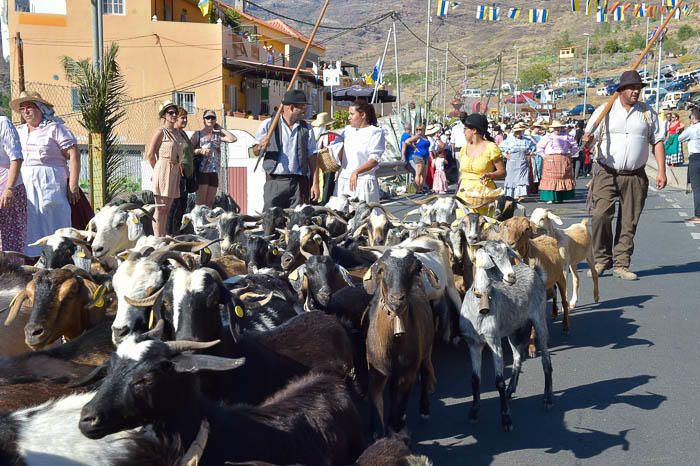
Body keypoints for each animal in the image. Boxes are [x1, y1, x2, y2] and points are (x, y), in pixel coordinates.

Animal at [364, 249, 434, 436]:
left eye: (415, 268)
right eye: (381, 269)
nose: (397, 299)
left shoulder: (407, 373)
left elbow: (399, 405)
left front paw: (396, 427)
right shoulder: (376, 372)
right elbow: (377, 405)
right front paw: (377, 432)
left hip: (426, 351)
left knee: (426, 371)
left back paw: (424, 409)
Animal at [460, 242, 552, 432]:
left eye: (508, 254)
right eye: (492, 257)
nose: (511, 276)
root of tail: (534, 271)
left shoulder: (494, 341)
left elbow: (499, 381)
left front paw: (506, 418)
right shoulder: (473, 344)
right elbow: (475, 379)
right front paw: (473, 412)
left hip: (539, 320)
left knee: (546, 360)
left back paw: (547, 398)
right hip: (513, 331)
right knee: (517, 358)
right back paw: (511, 390)